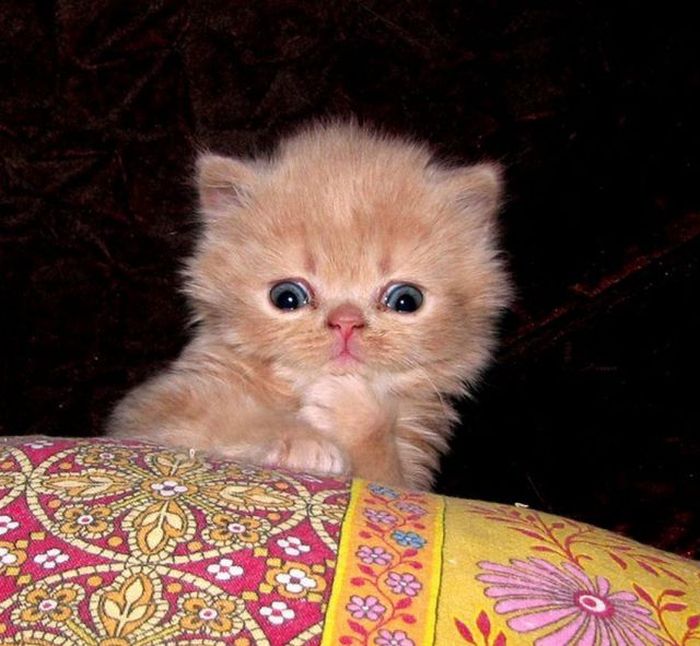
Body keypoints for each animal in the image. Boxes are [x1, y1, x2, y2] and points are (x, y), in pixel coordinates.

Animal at [107, 121, 511, 490]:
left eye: (405, 300)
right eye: (287, 297)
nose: (346, 321)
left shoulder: (412, 473)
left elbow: (385, 474)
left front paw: (352, 411)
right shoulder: (153, 409)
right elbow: (220, 416)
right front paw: (301, 441)